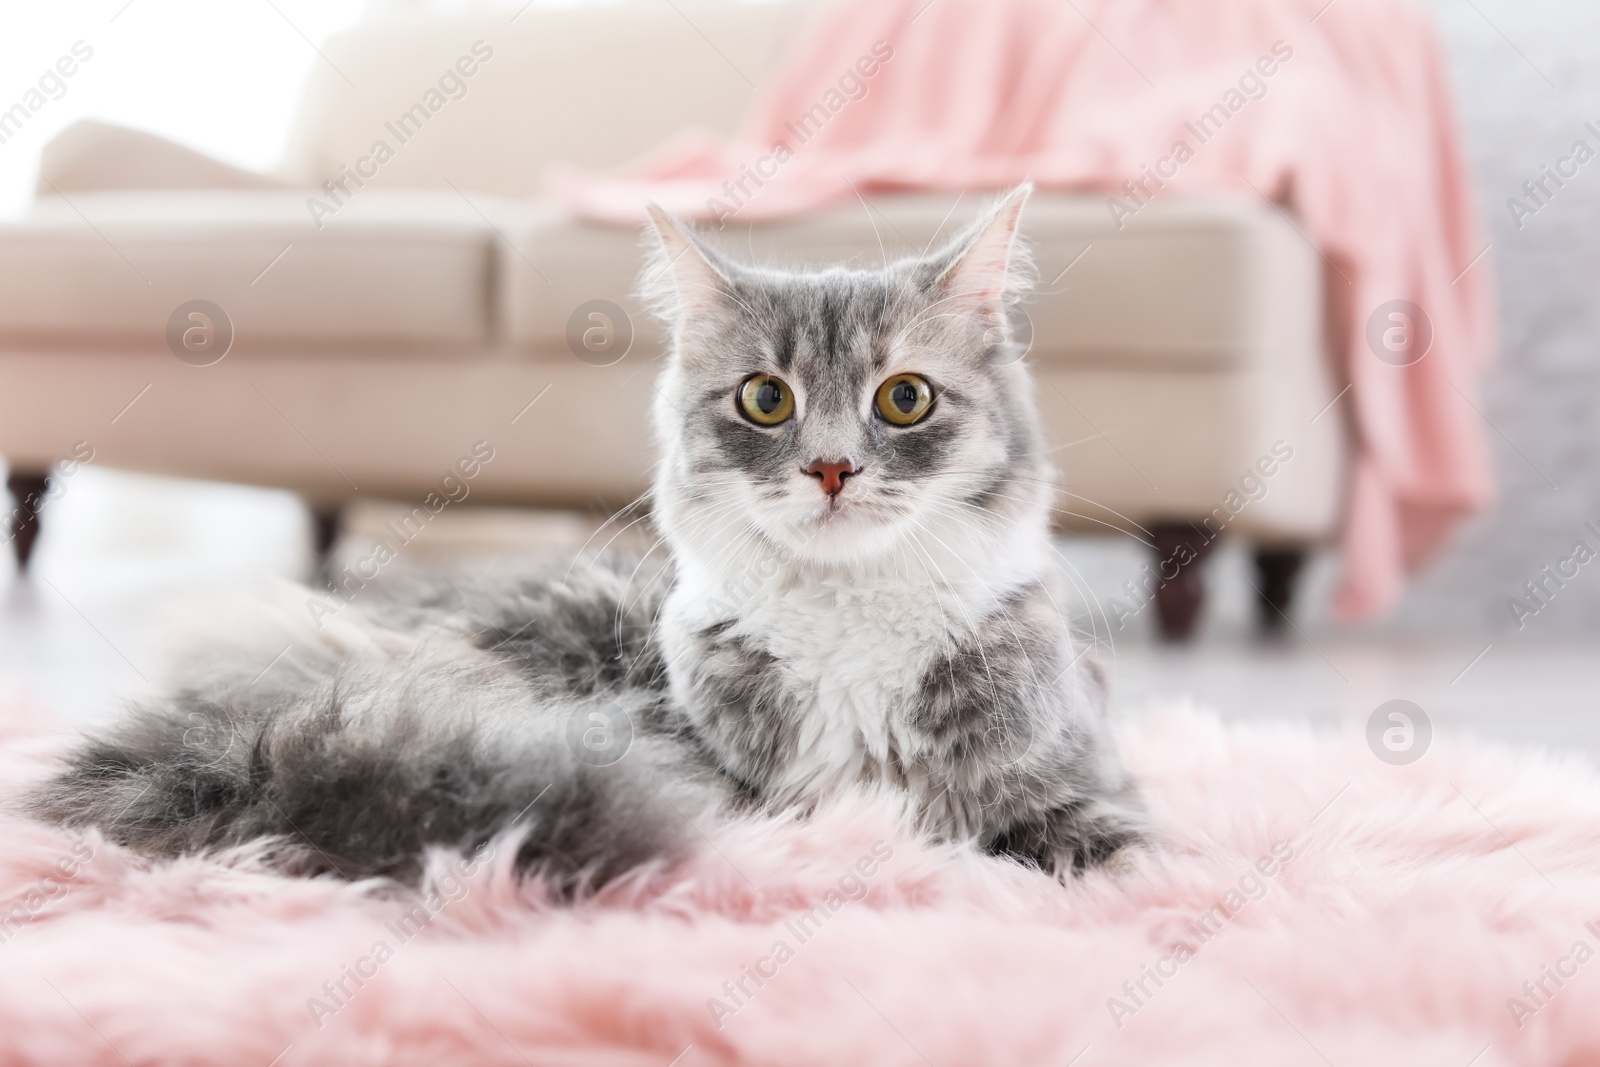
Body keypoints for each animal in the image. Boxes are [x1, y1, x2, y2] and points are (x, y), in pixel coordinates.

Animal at [25, 187, 1152, 889]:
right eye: (765, 398)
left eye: (904, 397)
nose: (831, 468)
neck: (851, 635)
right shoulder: (722, 774)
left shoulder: (1084, 765)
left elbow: (1125, 847)